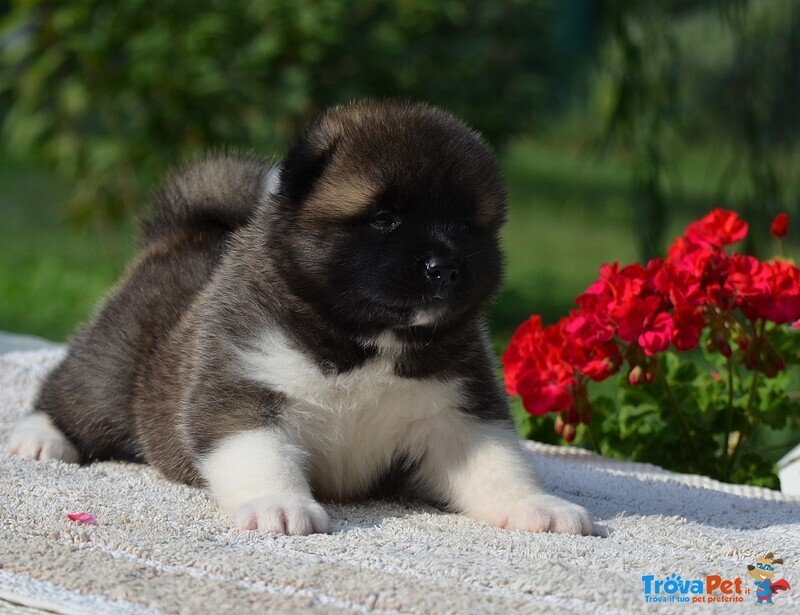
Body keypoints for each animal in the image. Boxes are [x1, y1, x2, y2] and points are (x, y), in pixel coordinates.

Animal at [7, 101, 592, 536]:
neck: (366, 342)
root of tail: (179, 234)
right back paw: (41, 438)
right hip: (111, 364)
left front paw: (538, 506)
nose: (445, 267)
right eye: (385, 219)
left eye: (469, 225)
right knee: (70, 395)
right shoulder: (244, 387)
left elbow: (497, 466)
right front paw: (279, 506)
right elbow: (260, 454)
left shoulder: (457, 412)